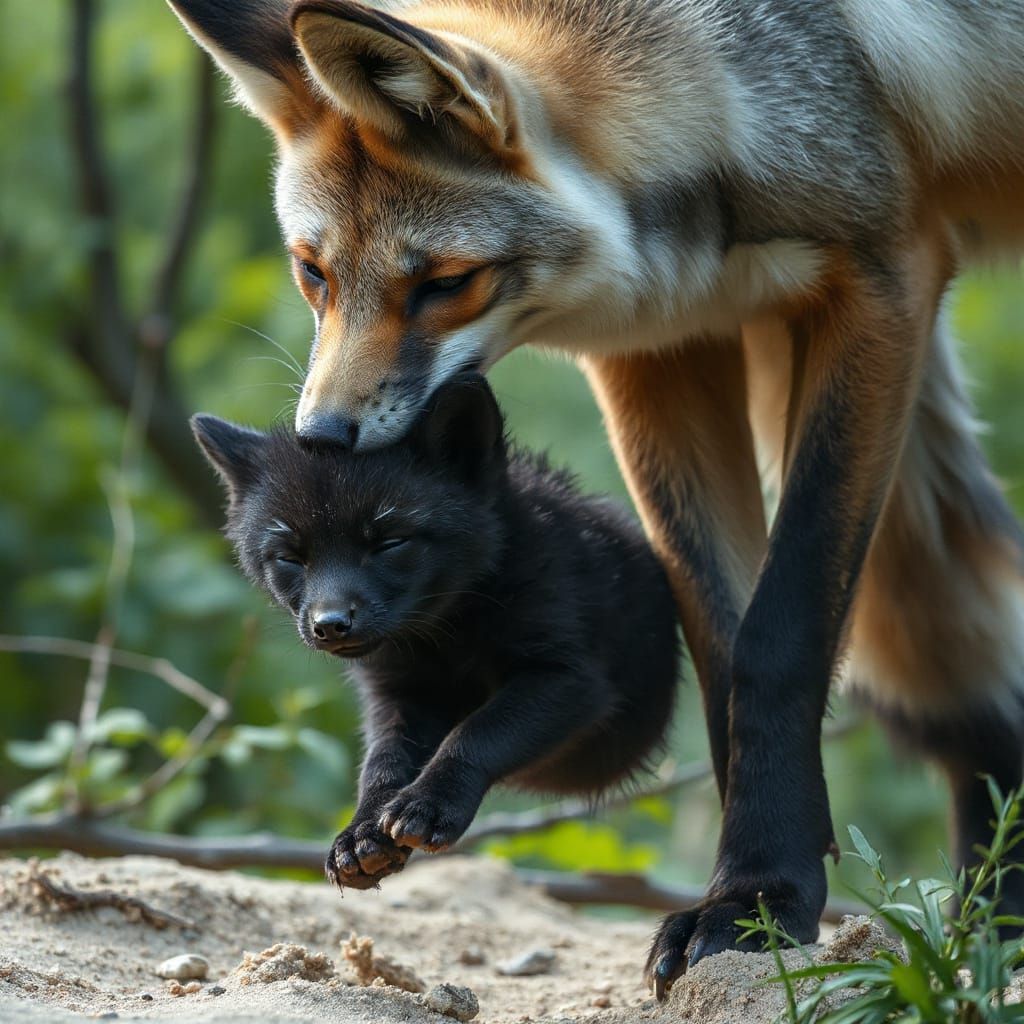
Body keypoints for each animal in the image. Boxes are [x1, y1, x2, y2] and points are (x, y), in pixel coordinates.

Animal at [192, 374, 680, 889]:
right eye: (289, 556)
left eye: (390, 542)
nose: (331, 625)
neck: (445, 637)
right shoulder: (398, 696)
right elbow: (381, 764)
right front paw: (360, 836)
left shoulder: (569, 678)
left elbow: (477, 733)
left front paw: (428, 806)